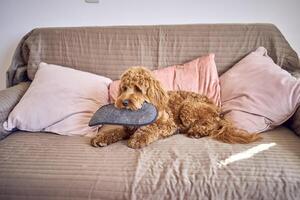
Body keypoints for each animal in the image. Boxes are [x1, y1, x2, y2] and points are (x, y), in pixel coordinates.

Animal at [90, 67, 262, 148]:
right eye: (124, 88)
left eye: (138, 89)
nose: (124, 102)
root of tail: (217, 110)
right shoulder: (127, 128)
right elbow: (115, 130)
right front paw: (101, 138)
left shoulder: (169, 124)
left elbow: (151, 127)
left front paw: (139, 138)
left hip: (188, 106)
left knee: (211, 125)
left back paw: (196, 131)